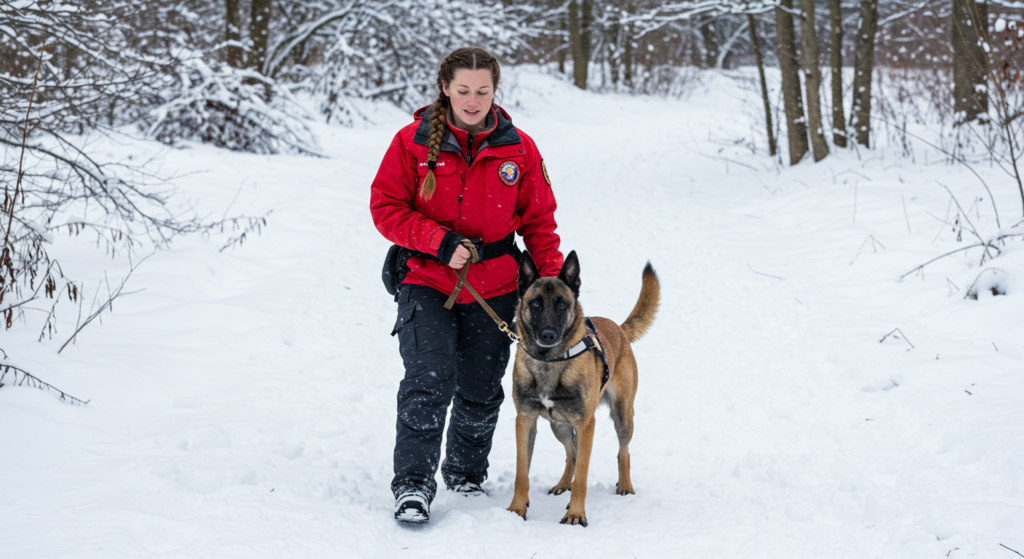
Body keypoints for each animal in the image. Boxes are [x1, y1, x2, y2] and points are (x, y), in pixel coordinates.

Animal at [507, 249, 659, 524]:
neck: (550, 361)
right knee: (572, 454)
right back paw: (562, 484)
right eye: (535, 304)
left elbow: (583, 477)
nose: (547, 335)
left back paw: (625, 485)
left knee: (623, 452)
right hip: (558, 424)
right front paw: (516, 510)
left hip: (622, 415)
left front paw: (576, 514)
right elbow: (522, 473)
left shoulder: (587, 424)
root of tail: (619, 328)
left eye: (562, 304)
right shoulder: (524, 421)